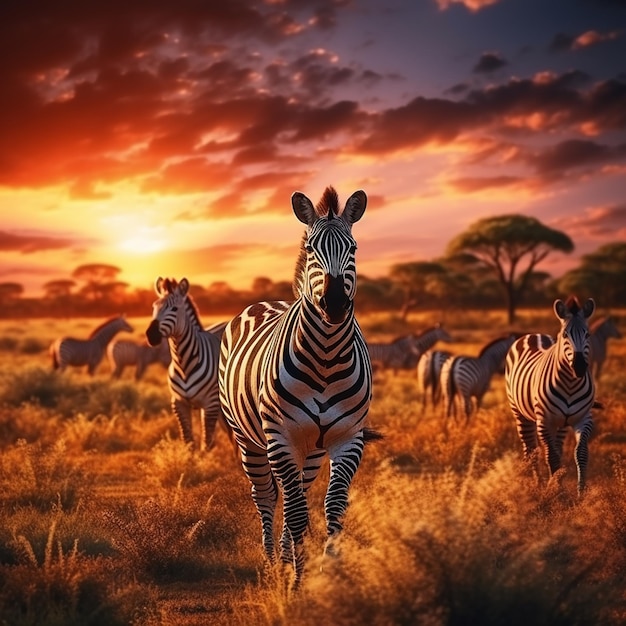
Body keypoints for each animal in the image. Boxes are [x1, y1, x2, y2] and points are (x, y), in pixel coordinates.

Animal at [145, 276, 228, 450]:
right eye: (153, 307)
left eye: (175, 309)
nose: (151, 335)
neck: (183, 363)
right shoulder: (179, 403)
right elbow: (188, 441)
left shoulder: (210, 404)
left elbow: (206, 445)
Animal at [219, 185, 376, 584]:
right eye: (311, 249)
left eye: (353, 249)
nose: (334, 304)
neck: (325, 356)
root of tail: (263, 302)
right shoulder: (281, 438)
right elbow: (294, 512)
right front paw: (298, 582)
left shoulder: (348, 438)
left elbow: (333, 508)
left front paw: (329, 574)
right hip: (251, 440)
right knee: (267, 497)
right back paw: (274, 563)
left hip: (312, 449)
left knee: (297, 494)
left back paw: (287, 557)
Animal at [502, 294, 596, 494]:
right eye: (565, 335)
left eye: (588, 335)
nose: (579, 367)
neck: (570, 384)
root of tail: (533, 335)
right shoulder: (545, 421)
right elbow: (551, 456)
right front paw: (555, 493)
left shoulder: (584, 418)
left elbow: (581, 453)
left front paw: (581, 493)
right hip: (520, 413)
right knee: (531, 450)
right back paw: (538, 485)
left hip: (561, 424)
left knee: (556, 448)